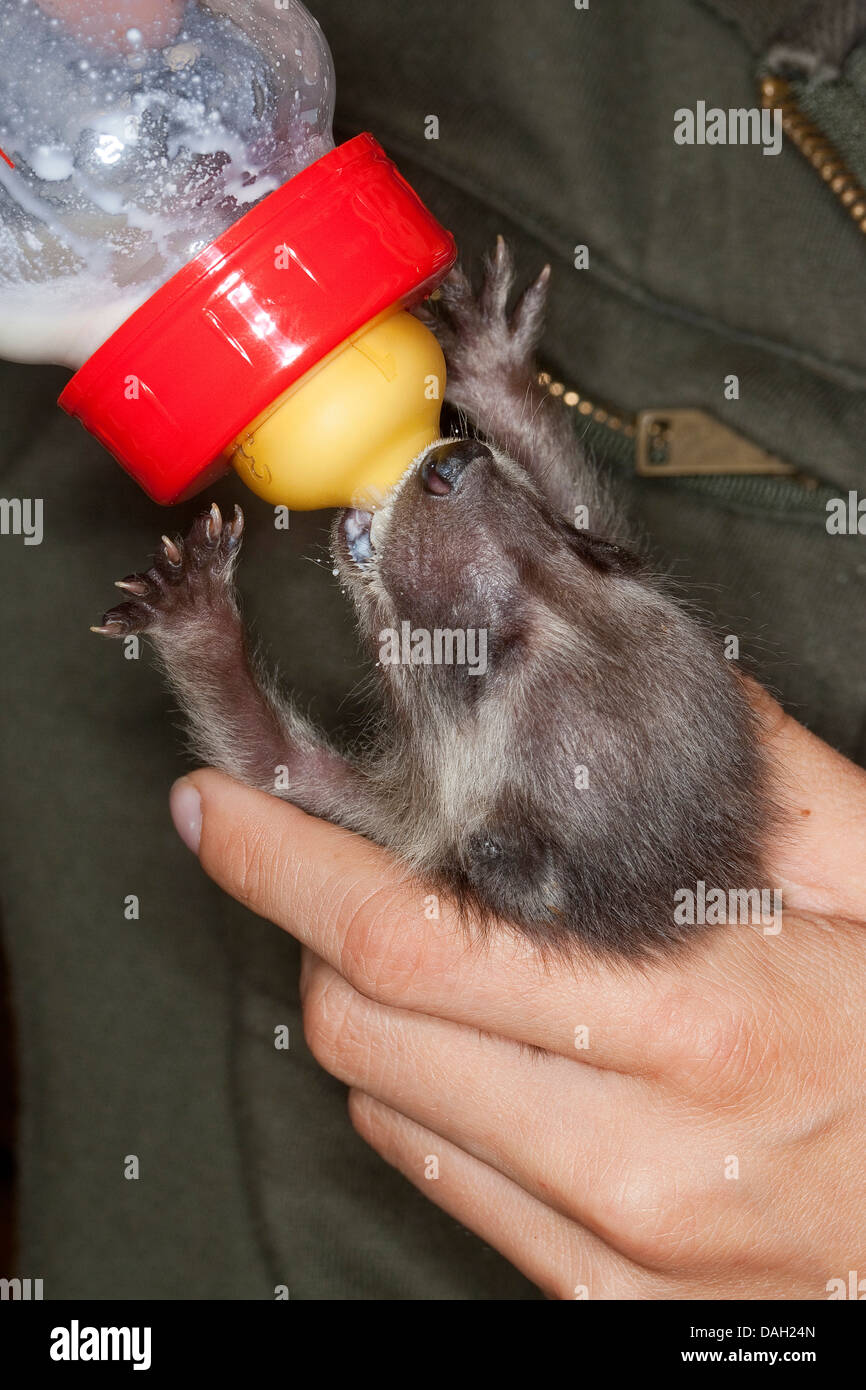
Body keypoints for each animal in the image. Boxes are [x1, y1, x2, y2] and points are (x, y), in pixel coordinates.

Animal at [96, 239, 772, 956]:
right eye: (586, 548)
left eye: (474, 657)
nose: (452, 465)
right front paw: (498, 374)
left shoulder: (407, 832)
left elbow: (266, 762)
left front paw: (198, 624)